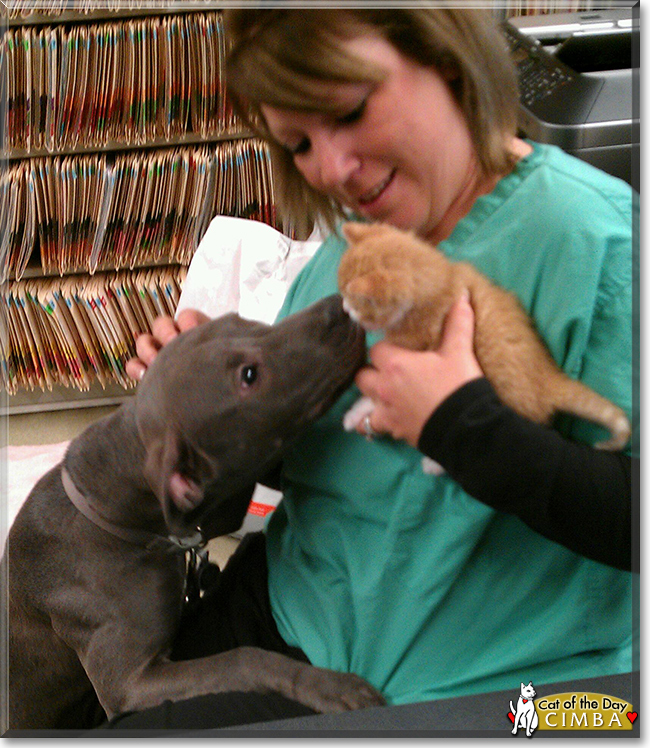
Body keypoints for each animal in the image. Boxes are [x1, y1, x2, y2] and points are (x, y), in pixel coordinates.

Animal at [2, 294, 382, 732]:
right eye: (249, 376)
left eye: (240, 318)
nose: (340, 304)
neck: (114, 521)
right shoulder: (129, 684)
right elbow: (242, 659)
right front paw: (327, 684)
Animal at [340, 219, 628, 448]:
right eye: (343, 295)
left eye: (355, 304)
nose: (343, 308)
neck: (441, 282)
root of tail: (548, 380)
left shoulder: (418, 347)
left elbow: (380, 394)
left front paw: (360, 410)